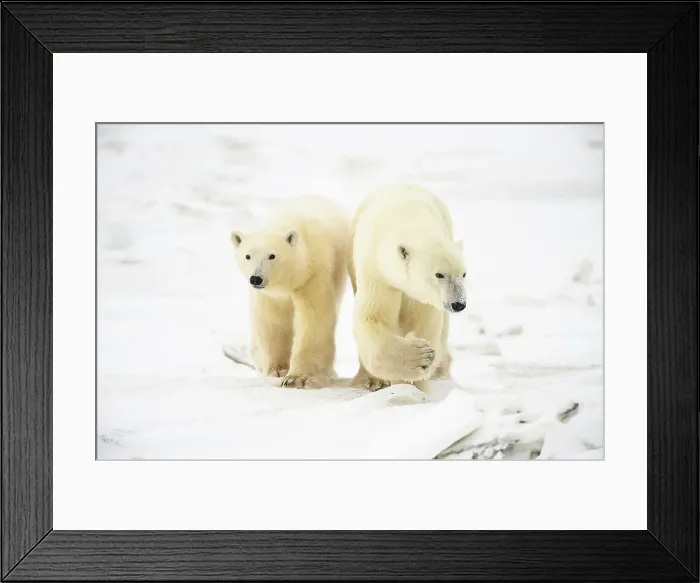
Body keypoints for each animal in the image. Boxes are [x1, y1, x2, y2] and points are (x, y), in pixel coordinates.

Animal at [231, 196, 350, 389]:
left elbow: (313, 319)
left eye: (272, 255)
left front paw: (298, 378)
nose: (256, 278)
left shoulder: (313, 274)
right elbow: (274, 321)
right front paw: (278, 369)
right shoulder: (269, 296)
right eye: (248, 256)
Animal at [348, 184, 466, 391]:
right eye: (439, 274)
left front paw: (416, 383)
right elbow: (373, 316)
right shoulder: (375, 271)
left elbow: (423, 322)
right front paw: (420, 357)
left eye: (464, 274)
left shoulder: (422, 296)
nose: (458, 304)